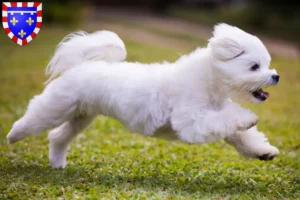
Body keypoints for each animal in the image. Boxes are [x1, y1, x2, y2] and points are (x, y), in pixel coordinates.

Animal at [6, 23, 278, 168]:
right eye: (254, 67)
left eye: (267, 65)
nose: (275, 76)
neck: (209, 80)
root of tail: (81, 65)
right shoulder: (191, 121)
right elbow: (231, 119)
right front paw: (248, 118)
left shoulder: (214, 116)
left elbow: (241, 135)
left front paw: (263, 152)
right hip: (57, 107)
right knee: (35, 118)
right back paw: (13, 136)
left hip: (81, 116)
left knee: (58, 136)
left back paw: (58, 163)